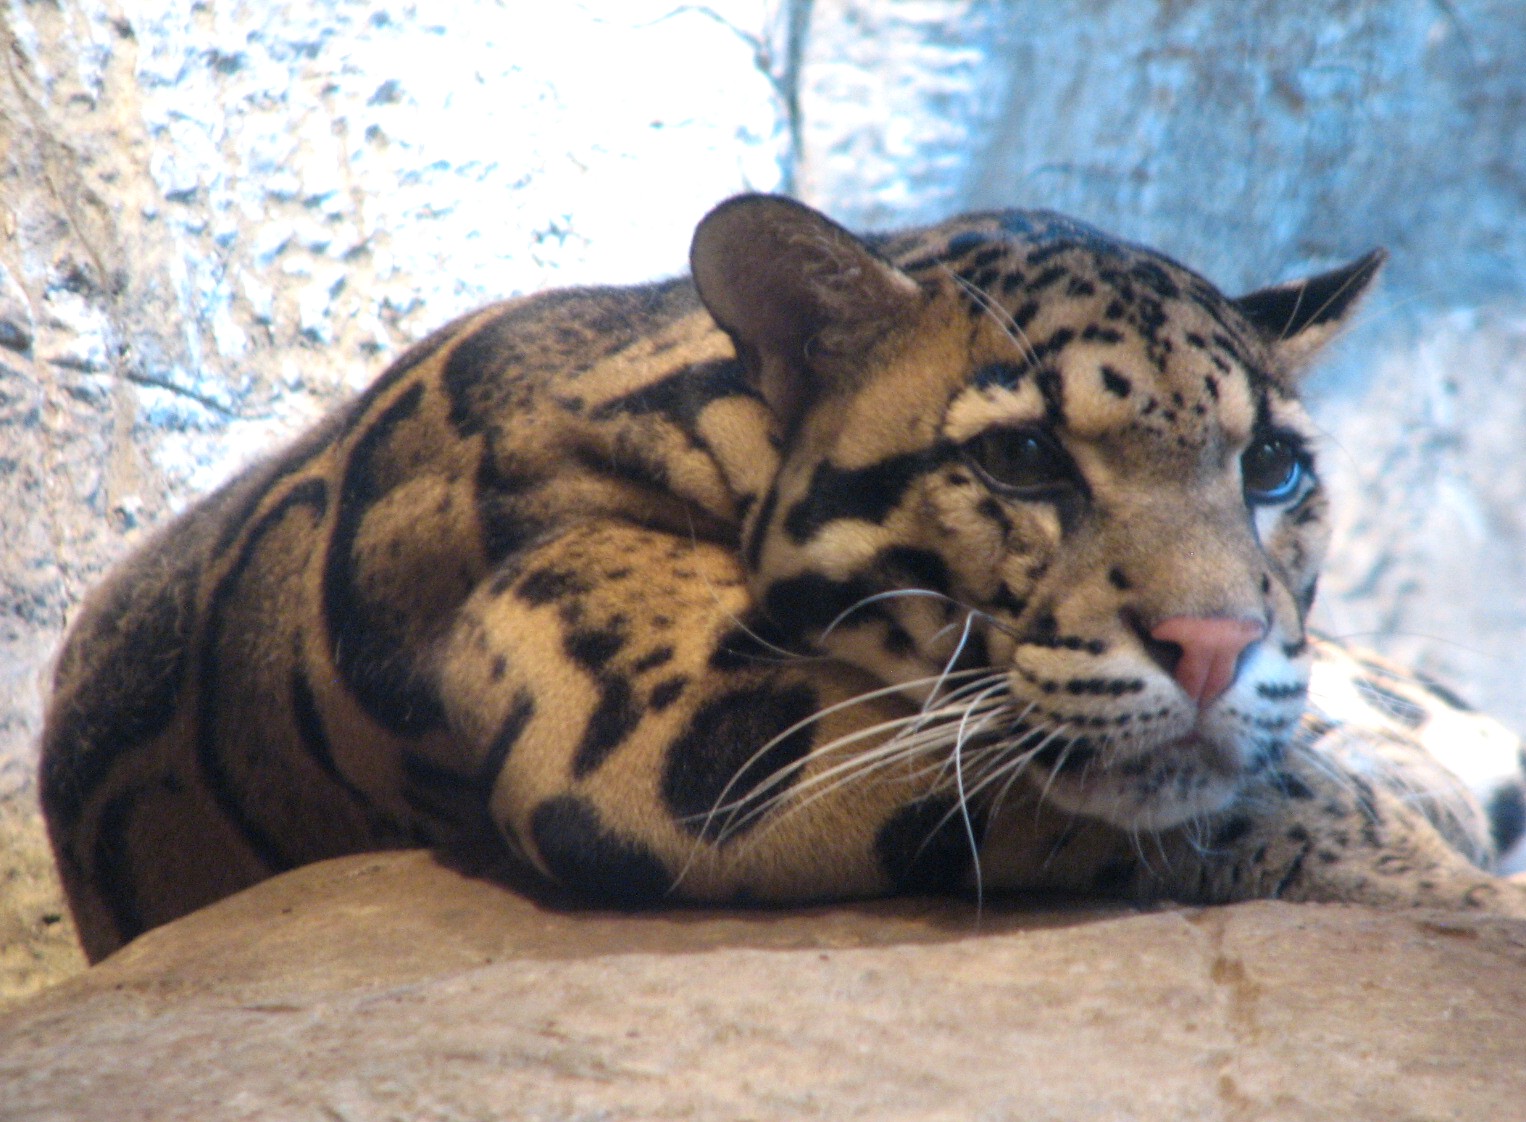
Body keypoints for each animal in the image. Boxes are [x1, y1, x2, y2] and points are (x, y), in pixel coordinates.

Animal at [40, 193, 1526, 963]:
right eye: (1022, 457)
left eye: (1271, 469)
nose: (1215, 643)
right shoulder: (658, 723)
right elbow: (1234, 800)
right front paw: (1454, 886)